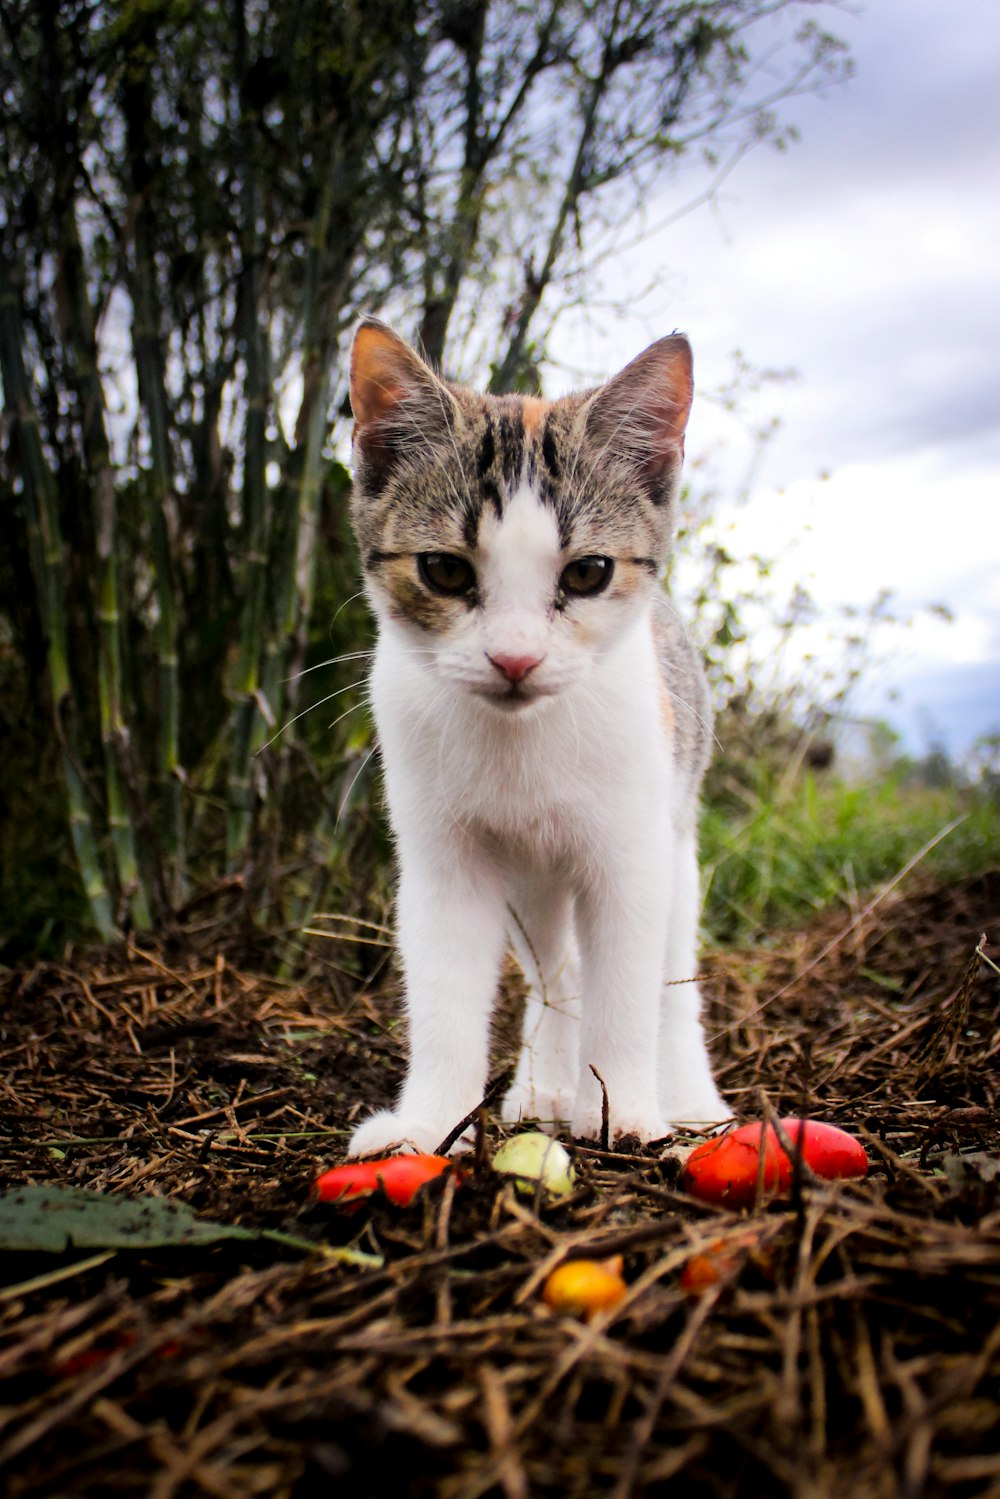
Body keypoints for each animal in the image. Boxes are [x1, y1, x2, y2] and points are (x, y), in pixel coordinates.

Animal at [344, 319, 728, 1157]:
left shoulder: (632, 856)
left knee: (667, 979)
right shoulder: (444, 859)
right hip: (530, 886)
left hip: (677, 838)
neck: (520, 741)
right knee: (559, 971)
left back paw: (687, 1097)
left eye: (587, 572)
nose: (514, 658)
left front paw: (624, 1108)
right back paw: (544, 1086)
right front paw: (431, 1121)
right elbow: (448, 989)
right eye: (444, 570)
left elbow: (628, 985)